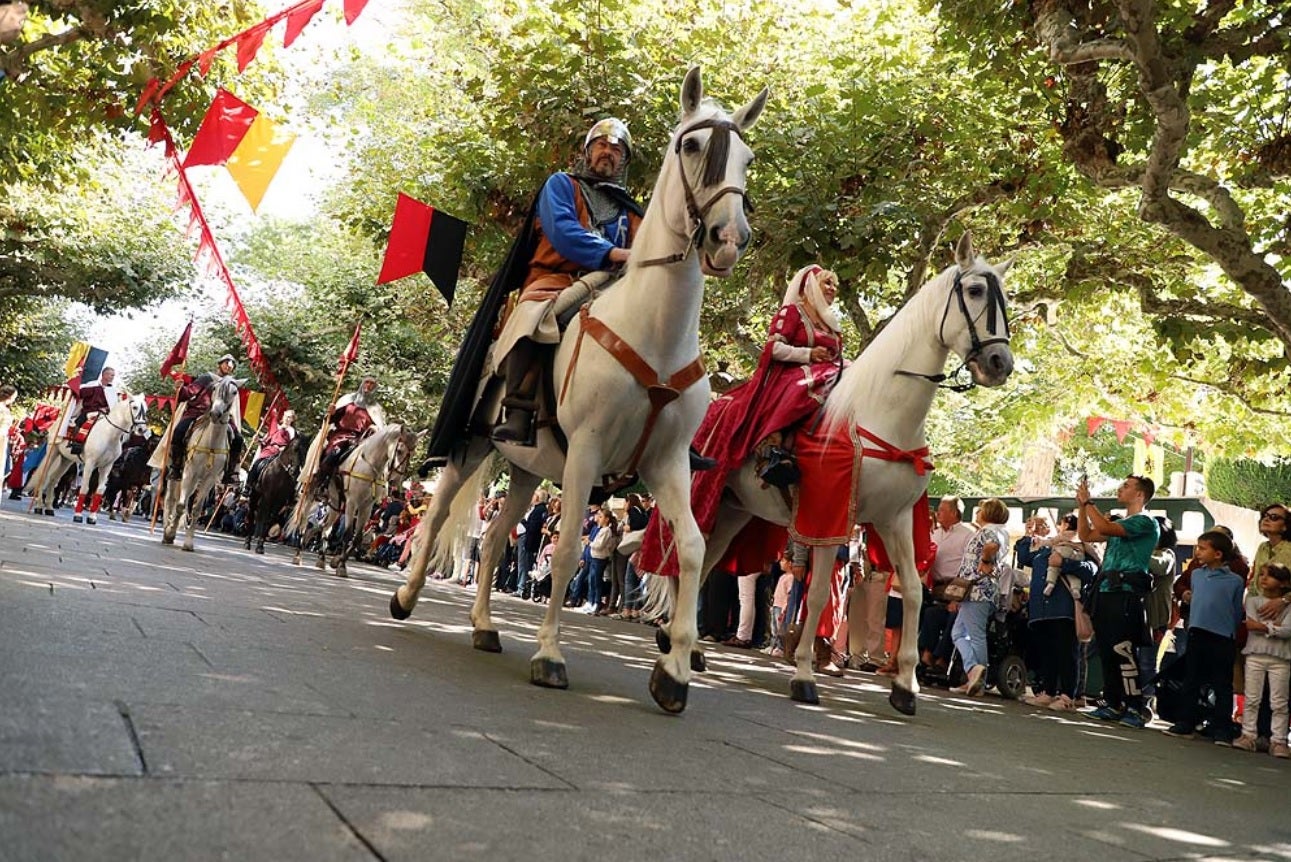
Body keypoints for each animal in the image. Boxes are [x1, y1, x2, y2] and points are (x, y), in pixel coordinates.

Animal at [161, 376, 240, 552]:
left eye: (234, 392)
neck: (211, 443)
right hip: (176, 475)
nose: (215, 414)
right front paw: (170, 533)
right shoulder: (189, 472)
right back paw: (166, 530)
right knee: (171, 499)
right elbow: (180, 505)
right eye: (214, 388)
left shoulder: (209, 479)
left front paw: (188, 543)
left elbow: (196, 509)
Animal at [290, 425, 415, 578]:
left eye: (411, 454)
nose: (396, 480)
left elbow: (357, 538)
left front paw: (337, 561)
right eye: (399, 450)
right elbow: (348, 534)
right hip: (311, 495)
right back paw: (298, 554)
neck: (369, 466)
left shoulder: (366, 507)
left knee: (325, 526)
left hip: (335, 504)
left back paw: (321, 558)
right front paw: (341, 566)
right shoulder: (352, 502)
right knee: (304, 522)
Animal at [387, 65, 759, 712]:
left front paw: (674, 671)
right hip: (471, 448)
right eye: (691, 145)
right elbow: (561, 552)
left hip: (527, 468)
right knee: (436, 518)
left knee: (496, 540)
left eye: (747, 156)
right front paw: (550, 655)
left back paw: (484, 627)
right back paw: (407, 599)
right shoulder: (586, 451)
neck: (655, 333)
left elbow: (691, 549)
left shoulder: (666, 464)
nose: (727, 238)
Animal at [660, 232, 1012, 717]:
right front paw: (805, 676)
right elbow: (818, 594)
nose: (1000, 363)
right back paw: (671, 635)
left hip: (736, 511)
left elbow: (913, 593)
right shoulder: (827, 516)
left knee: (709, 561)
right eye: (975, 291)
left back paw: (689, 647)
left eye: (1005, 297)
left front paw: (906, 686)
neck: (879, 412)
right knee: (687, 556)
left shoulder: (894, 520)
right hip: (705, 498)